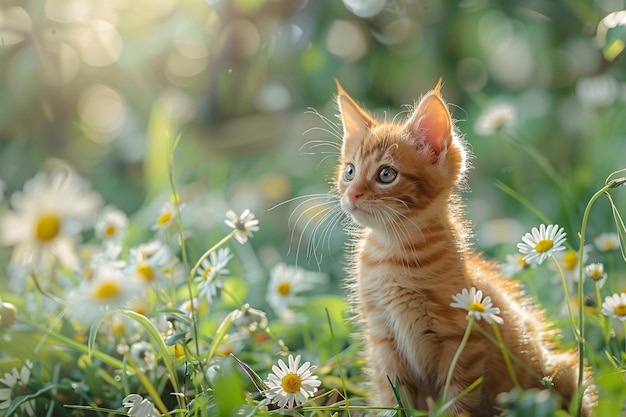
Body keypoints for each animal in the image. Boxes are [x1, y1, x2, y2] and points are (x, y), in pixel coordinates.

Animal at [334, 79, 592, 414]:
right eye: (349, 171)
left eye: (386, 174)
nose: (351, 194)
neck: (393, 253)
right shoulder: (383, 340)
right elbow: (394, 398)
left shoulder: (463, 341)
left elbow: (458, 399)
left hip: (563, 372)